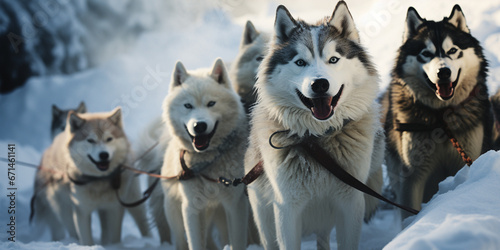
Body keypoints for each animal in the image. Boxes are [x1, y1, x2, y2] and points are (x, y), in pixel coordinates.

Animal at [32, 107, 149, 244]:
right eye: (90, 140)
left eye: (109, 139)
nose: (103, 155)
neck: (98, 180)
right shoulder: (82, 210)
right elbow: (86, 239)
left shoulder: (113, 208)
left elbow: (114, 237)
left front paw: (113, 246)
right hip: (63, 210)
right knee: (69, 229)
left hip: (133, 199)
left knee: (141, 220)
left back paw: (149, 240)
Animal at [161, 59, 249, 250]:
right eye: (188, 105)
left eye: (211, 103)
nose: (199, 125)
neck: (208, 162)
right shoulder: (192, 208)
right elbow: (195, 243)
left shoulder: (235, 204)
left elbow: (238, 240)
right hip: (175, 214)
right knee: (181, 240)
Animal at [246, 1, 382, 248]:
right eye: (300, 62)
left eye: (334, 59)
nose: (320, 84)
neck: (316, 139)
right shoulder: (287, 209)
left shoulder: (350, 203)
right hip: (264, 217)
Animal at [382, 4, 492, 219]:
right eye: (425, 53)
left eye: (453, 50)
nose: (444, 72)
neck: (441, 117)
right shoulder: (413, 177)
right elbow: (409, 212)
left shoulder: (467, 159)